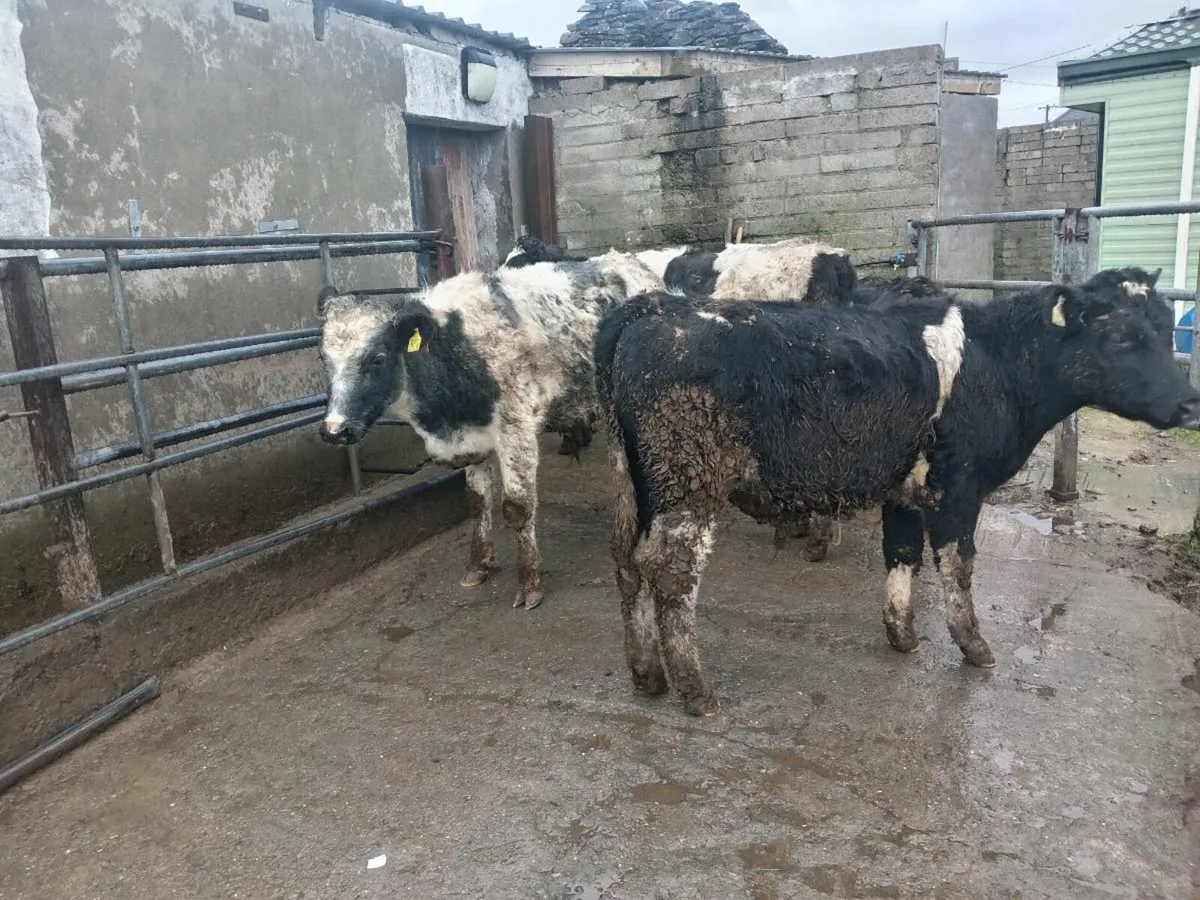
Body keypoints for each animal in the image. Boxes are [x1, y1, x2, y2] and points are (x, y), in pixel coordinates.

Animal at [318, 252, 663, 611]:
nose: (334, 430)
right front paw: (477, 565)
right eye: (323, 357)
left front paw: (529, 583)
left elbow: (517, 509)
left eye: (377, 358)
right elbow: (475, 502)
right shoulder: (470, 436)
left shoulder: (517, 430)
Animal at [595, 267, 1200, 715]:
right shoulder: (961, 486)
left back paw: (646, 674)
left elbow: (902, 553)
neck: (998, 361)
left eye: (1167, 328)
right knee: (671, 572)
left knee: (627, 560)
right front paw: (974, 646)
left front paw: (903, 635)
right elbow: (957, 565)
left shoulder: (904, 490)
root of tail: (656, 307)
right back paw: (696, 690)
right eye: (1120, 336)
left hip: (635, 482)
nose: (1189, 401)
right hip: (688, 484)